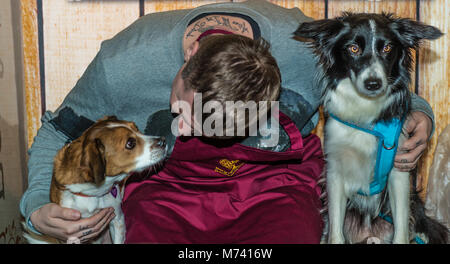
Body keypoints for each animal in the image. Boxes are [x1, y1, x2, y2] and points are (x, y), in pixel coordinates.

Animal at [294, 12, 448, 243]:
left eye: (387, 48)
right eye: (353, 48)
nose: (373, 83)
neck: (365, 112)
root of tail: (368, 234)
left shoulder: (399, 171)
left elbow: (401, 231)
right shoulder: (335, 172)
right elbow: (335, 232)